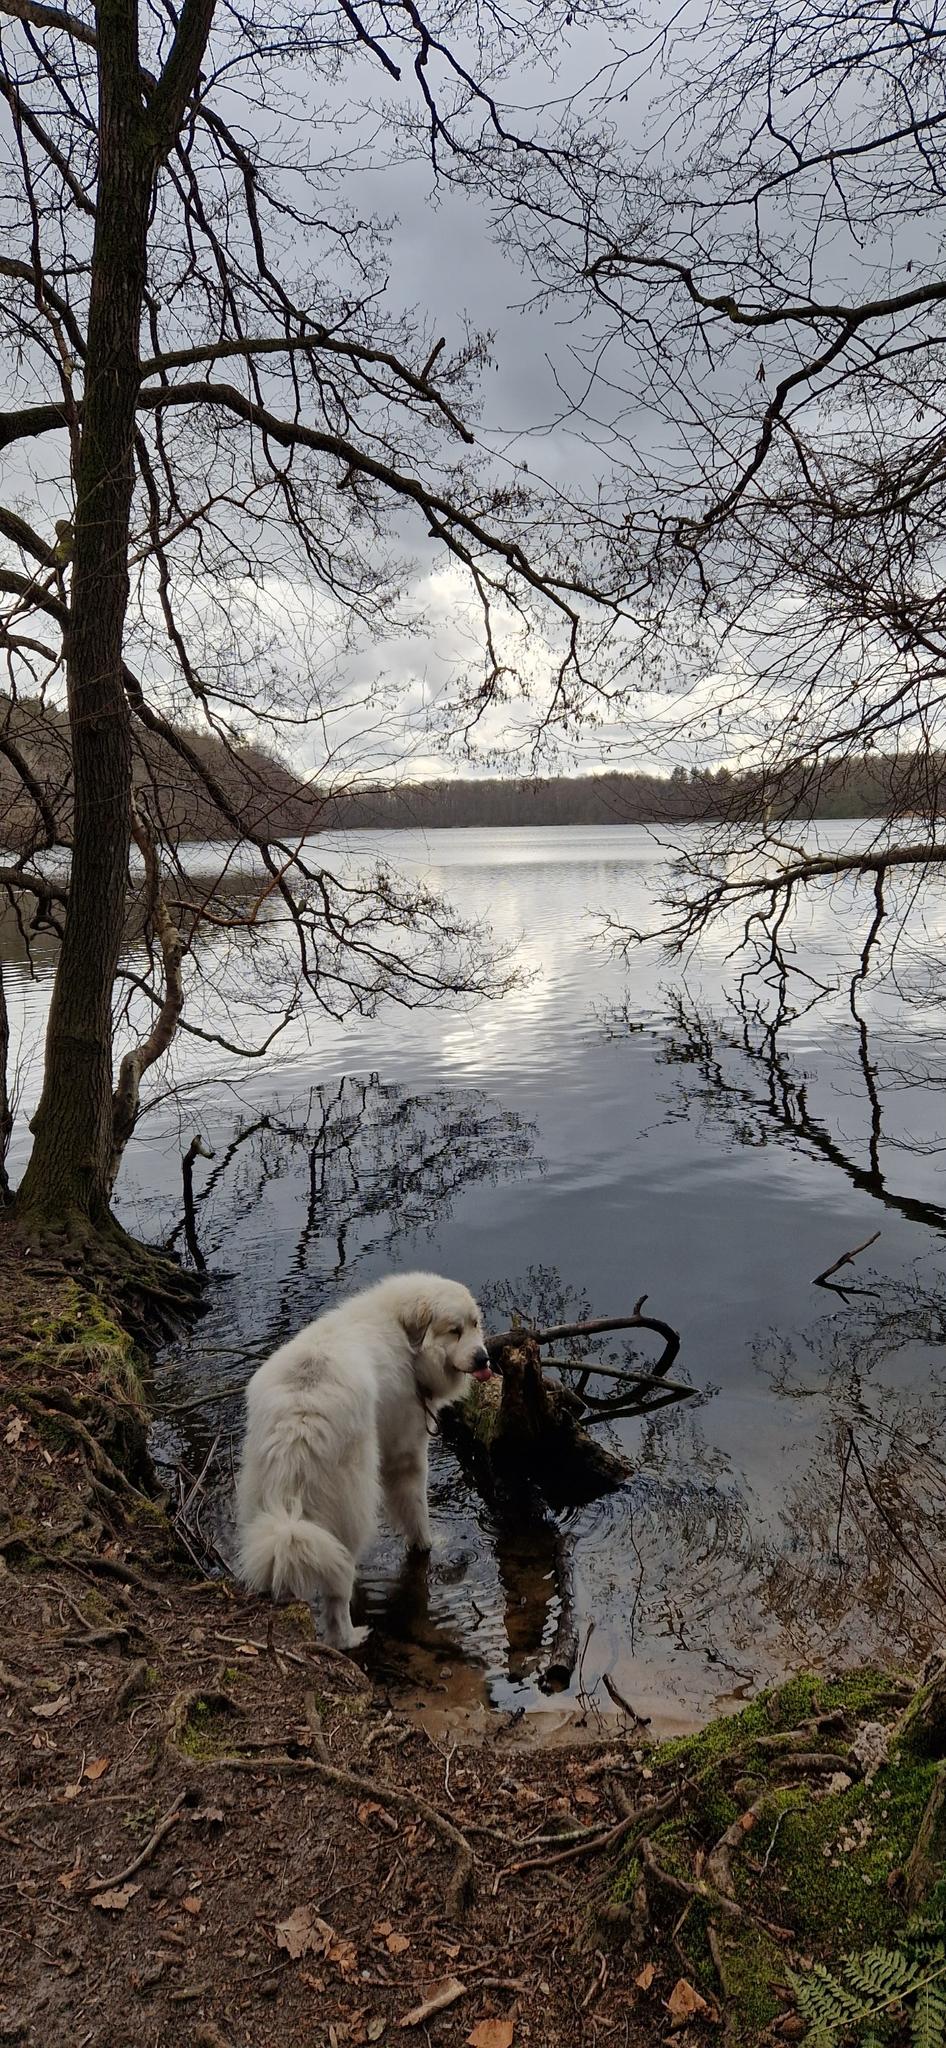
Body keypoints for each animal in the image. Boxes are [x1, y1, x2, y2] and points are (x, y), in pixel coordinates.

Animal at [235, 1261, 491, 1646]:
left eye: (475, 1324)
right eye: (454, 1331)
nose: (483, 1357)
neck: (405, 1337)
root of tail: (300, 1415)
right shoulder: (406, 1450)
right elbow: (416, 1512)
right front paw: (428, 1545)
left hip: (265, 1495)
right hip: (351, 1503)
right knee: (337, 1587)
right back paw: (351, 1637)